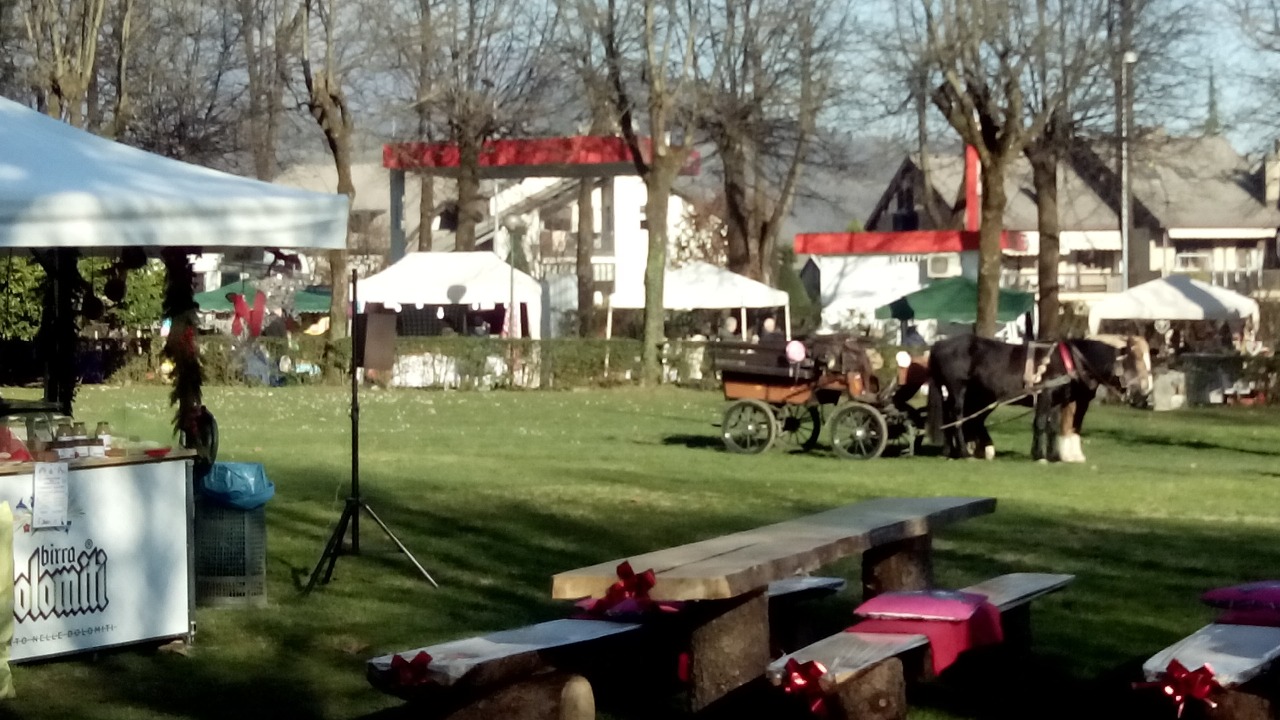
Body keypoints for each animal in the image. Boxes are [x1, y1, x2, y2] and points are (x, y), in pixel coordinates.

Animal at [926, 335, 1151, 462]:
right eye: (1135, 361)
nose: (1146, 389)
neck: (1070, 361)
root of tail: (937, 345)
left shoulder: (1058, 399)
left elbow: (1052, 426)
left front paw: (1051, 455)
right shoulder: (1045, 395)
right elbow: (1041, 423)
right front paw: (1041, 456)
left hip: (980, 396)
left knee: (964, 419)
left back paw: (953, 451)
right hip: (959, 389)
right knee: (956, 416)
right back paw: (964, 452)